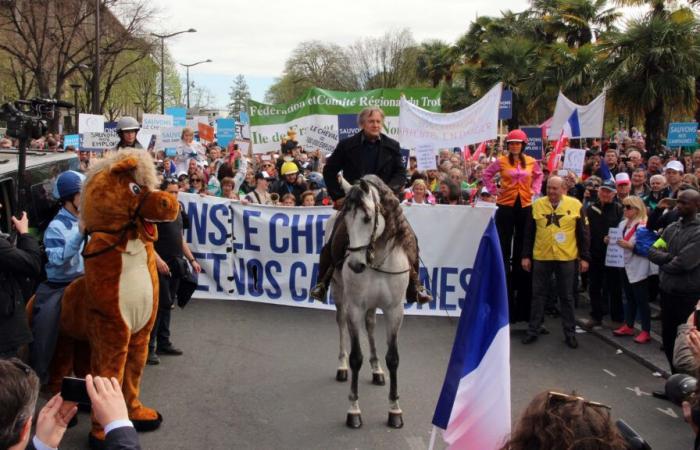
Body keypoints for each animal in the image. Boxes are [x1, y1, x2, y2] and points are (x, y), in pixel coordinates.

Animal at [326, 175, 410, 428]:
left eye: (367, 218)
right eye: (346, 219)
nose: (355, 265)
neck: (377, 258)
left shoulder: (394, 310)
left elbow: (393, 358)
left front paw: (394, 409)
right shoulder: (354, 308)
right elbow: (356, 358)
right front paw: (354, 410)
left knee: (371, 325)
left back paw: (377, 369)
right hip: (339, 294)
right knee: (341, 323)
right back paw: (341, 366)